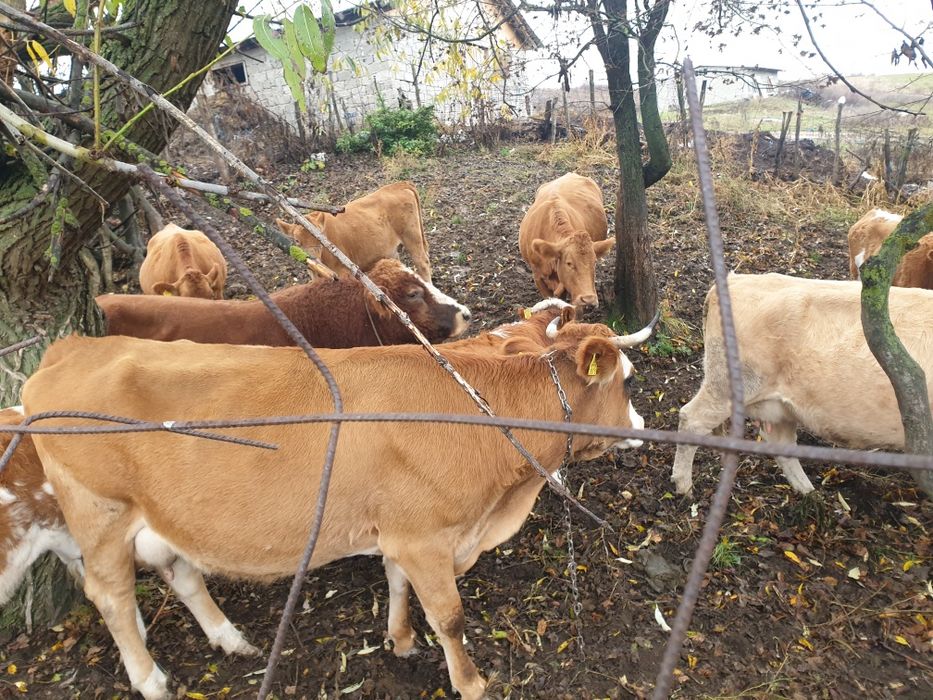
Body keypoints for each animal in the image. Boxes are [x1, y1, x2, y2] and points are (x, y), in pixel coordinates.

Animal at [22, 313, 653, 700]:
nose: (645, 425)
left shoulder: (401, 529)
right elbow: (449, 617)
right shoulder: (427, 537)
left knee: (182, 573)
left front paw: (400, 640)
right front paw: (471, 682)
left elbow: (397, 583)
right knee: (111, 596)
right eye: (627, 381)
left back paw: (229, 638)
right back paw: (151, 679)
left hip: (159, 517)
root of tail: (71, 348)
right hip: (100, 514)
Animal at [275, 181, 432, 282]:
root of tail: (398, 185)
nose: (315, 259)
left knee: (422, 262)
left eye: (320, 237)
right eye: (297, 241)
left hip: (411, 235)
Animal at [671, 273, 933, 497]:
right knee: (691, 418)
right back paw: (684, 487)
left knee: (780, 442)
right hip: (729, 384)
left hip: (777, 404)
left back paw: (809, 493)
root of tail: (735, 279)